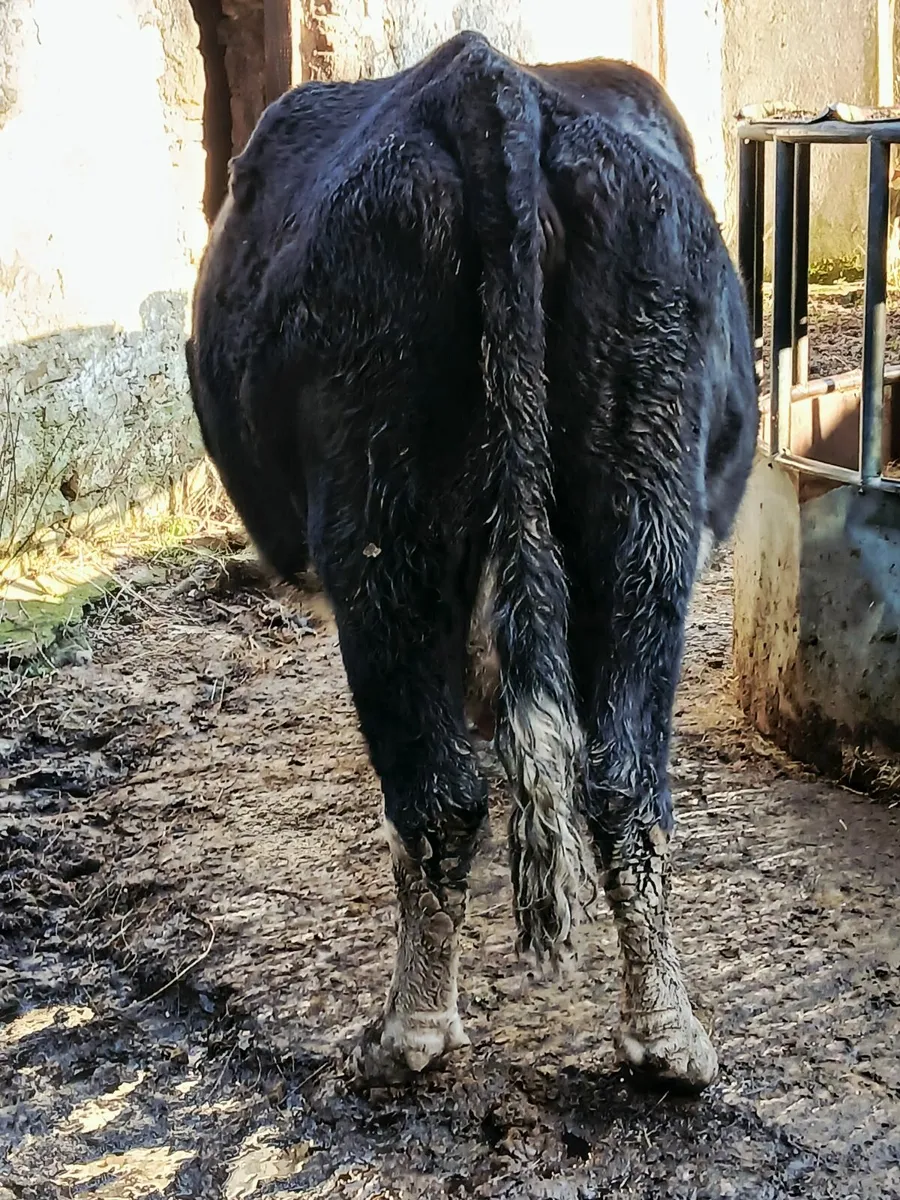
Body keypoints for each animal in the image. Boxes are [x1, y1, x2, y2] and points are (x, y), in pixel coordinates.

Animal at [186, 31, 759, 1093]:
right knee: (624, 782)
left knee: (440, 794)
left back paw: (405, 1034)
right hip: (645, 495)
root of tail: (489, 83)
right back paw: (667, 1039)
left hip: (381, 511)